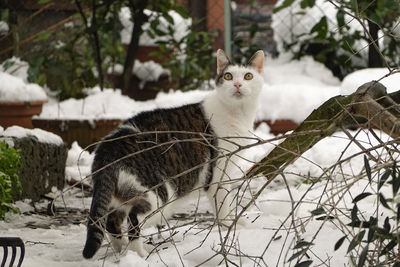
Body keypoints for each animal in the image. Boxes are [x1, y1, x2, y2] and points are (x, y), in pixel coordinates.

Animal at [81, 48, 264, 260]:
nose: (237, 84)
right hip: (159, 195)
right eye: (228, 76)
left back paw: (121, 252)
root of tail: (108, 148)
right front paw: (230, 225)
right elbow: (223, 204)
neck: (237, 114)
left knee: (111, 221)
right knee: (134, 219)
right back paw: (139, 254)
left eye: (248, 76)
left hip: (120, 195)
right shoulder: (218, 175)